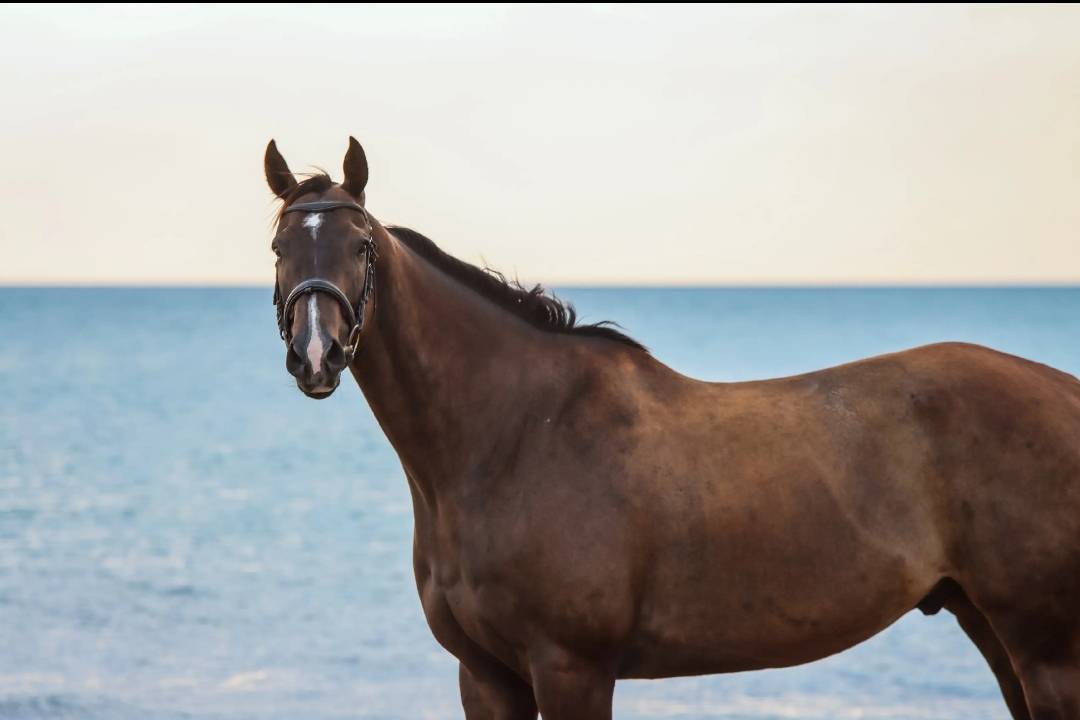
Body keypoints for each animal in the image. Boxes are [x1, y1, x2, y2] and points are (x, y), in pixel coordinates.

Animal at [263, 137, 1080, 719]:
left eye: (360, 246)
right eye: (279, 249)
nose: (316, 354)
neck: (514, 436)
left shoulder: (572, 670)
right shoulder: (486, 677)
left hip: (1045, 648)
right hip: (992, 628)